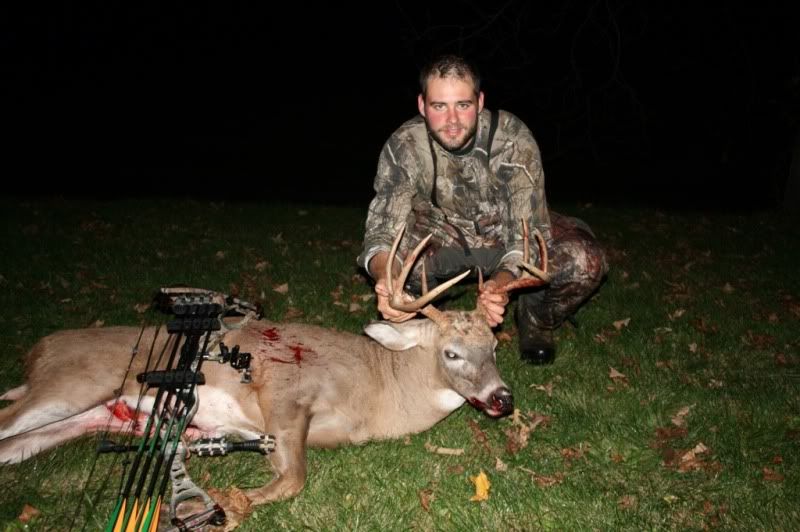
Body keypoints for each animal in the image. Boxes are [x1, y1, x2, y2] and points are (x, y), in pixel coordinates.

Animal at [0, 222, 549, 526]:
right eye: (452, 353)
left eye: (492, 348)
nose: (502, 398)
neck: (381, 387)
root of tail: (39, 349)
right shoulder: (284, 395)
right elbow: (294, 479)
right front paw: (225, 504)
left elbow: (285, 472)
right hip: (69, 385)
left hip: (82, 418)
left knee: (11, 448)